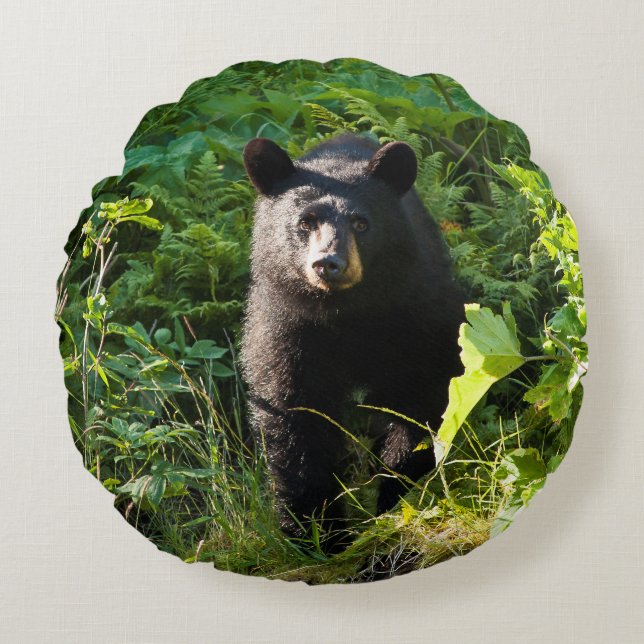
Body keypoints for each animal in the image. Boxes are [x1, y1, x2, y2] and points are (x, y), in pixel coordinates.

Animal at [240, 132, 465, 550]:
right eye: (305, 222)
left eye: (361, 223)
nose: (329, 263)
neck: (345, 313)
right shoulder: (287, 327)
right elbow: (295, 416)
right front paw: (316, 532)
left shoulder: (416, 313)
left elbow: (421, 398)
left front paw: (395, 496)